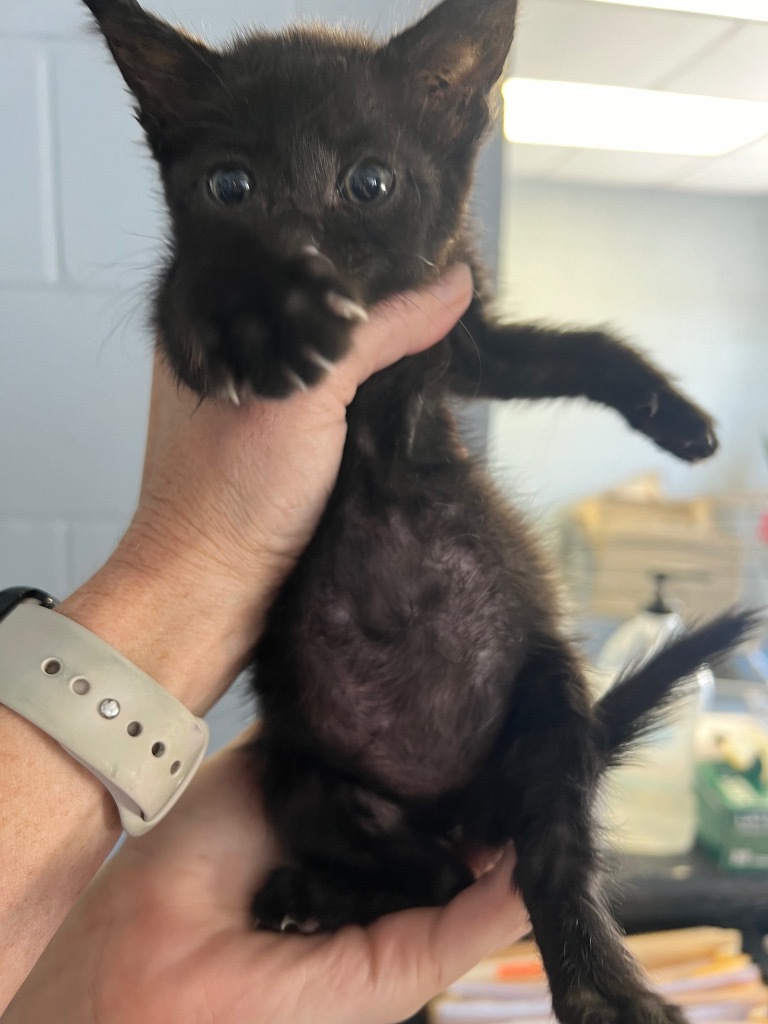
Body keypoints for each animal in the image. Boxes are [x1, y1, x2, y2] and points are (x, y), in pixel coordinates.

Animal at [82, 2, 753, 1024]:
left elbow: (558, 352)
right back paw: (313, 897)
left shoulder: (459, 330)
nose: (305, 253)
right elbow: (193, 299)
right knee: (434, 876)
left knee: (547, 859)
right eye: (230, 185)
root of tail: (456, 803)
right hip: (306, 776)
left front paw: (670, 414)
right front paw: (267, 316)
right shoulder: (184, 326)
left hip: (550, 697)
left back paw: (598, 982)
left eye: (370, 183)